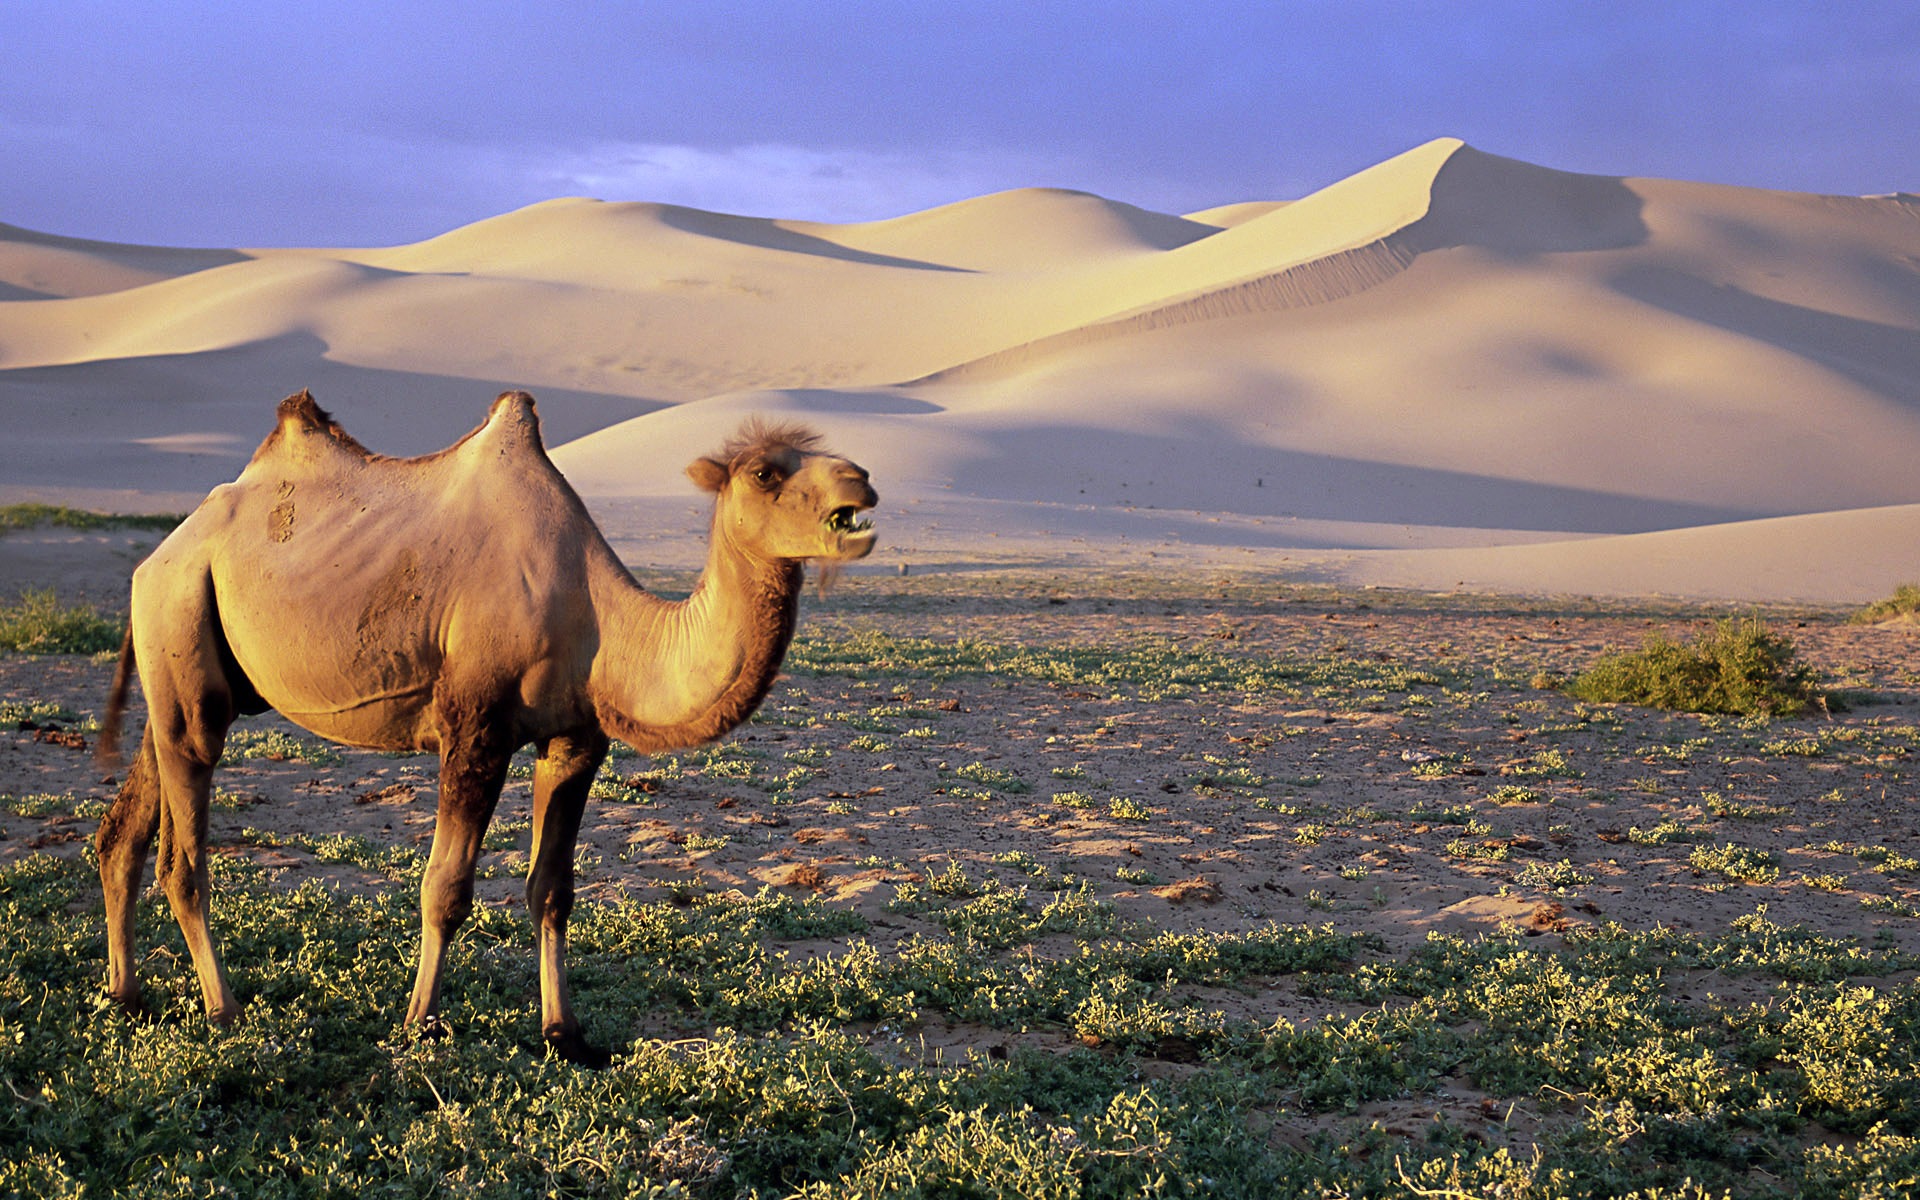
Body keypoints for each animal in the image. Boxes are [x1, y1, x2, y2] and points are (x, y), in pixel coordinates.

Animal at [95, 387, 879, 1059]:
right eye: (765, 472)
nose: (863, 480)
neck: (597, 620)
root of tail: (159, 554)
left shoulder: (575, 740)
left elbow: (553, 890)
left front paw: (564, 1033)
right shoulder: (474, 726)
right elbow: (445, 889)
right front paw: (419, 1024)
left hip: (184, 663)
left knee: (121, 831)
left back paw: (125, 996)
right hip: (182, 622)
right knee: (182, 854)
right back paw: (223, 1009)